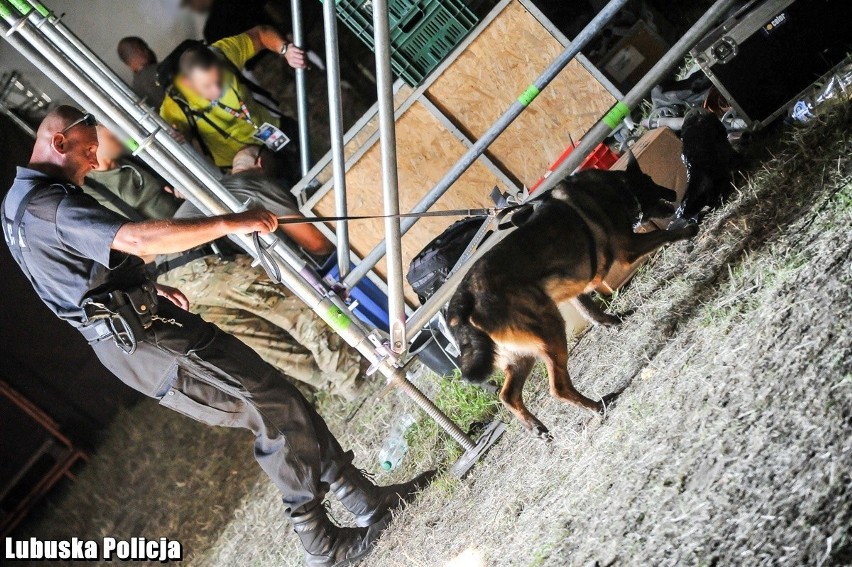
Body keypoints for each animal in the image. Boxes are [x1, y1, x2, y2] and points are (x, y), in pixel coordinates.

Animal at [446, 156, 700, 440]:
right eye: (649, 181)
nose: (674, 193)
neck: (615, 187)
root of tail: (464, 297)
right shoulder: (629, 246)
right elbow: (664, 235)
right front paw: (689, 228)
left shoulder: (573, 286)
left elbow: (589, 308)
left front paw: (612, 322)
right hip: (550, 330)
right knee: (557, 388)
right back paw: (597, 405)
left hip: (522, 354)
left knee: (508, 395)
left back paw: (536, 427)